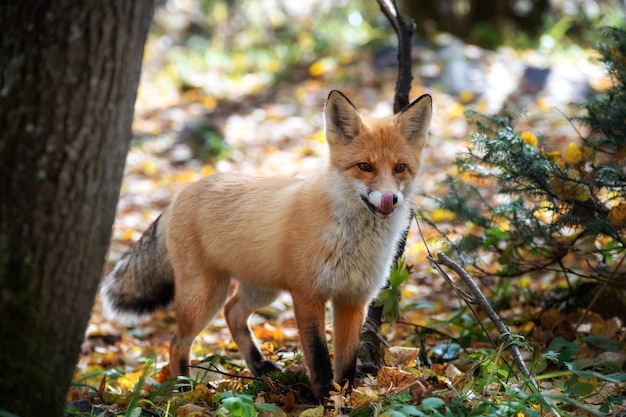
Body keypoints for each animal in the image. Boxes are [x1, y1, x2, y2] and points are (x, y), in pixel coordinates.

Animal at [100, 90, 432, 400]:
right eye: (365, 166)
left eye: (400, 168)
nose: (390, 198)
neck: (354, 243)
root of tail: (180, 193)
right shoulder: (307, 296)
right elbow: (319, 358)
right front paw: (325, 399)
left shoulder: (353, 300)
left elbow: (346, 363)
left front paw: (347, 398)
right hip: (205, 296)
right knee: (177, 342)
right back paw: (183, 389)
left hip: (261, 290)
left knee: (233, 313)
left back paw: (258, 366)